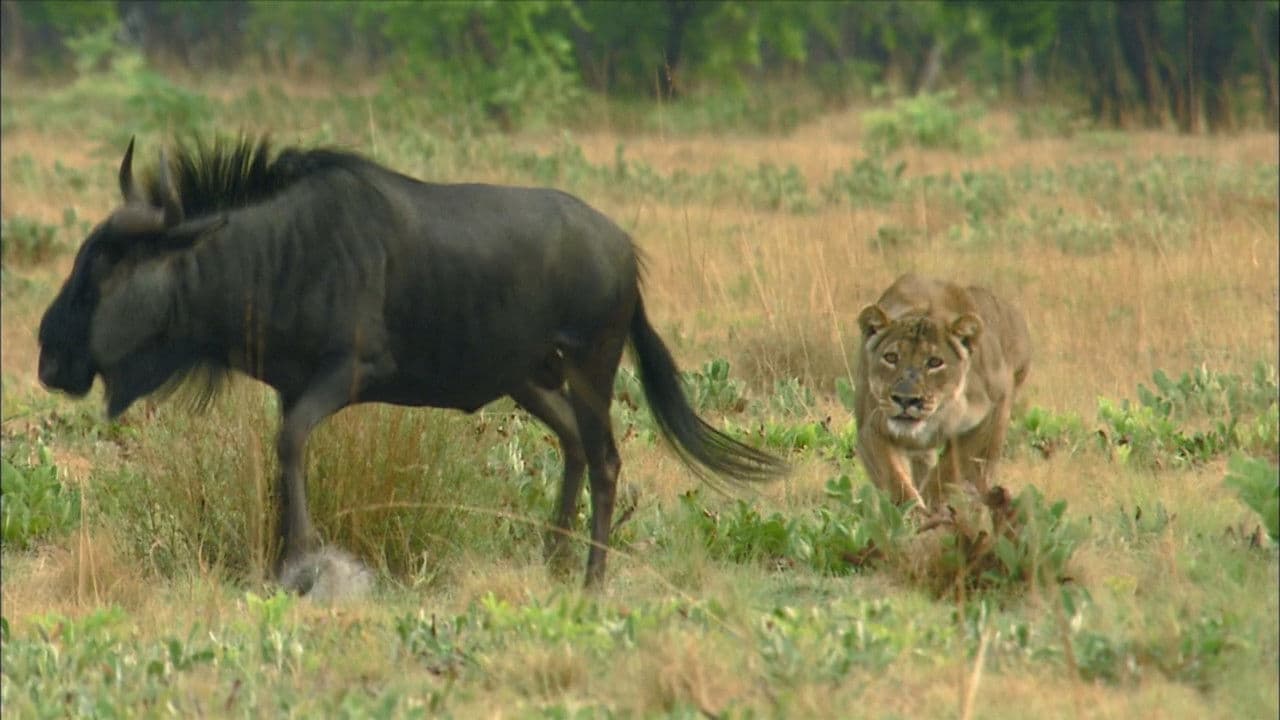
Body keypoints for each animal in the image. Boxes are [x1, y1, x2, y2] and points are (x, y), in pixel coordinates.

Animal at [854, 274, 1031, 510]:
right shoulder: (871, 427)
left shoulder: (994, 411)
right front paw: (913, 512)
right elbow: (895, 480)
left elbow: (951, 468)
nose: (905, 400)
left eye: (935, 362)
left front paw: (933, 504)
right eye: (891, 358)